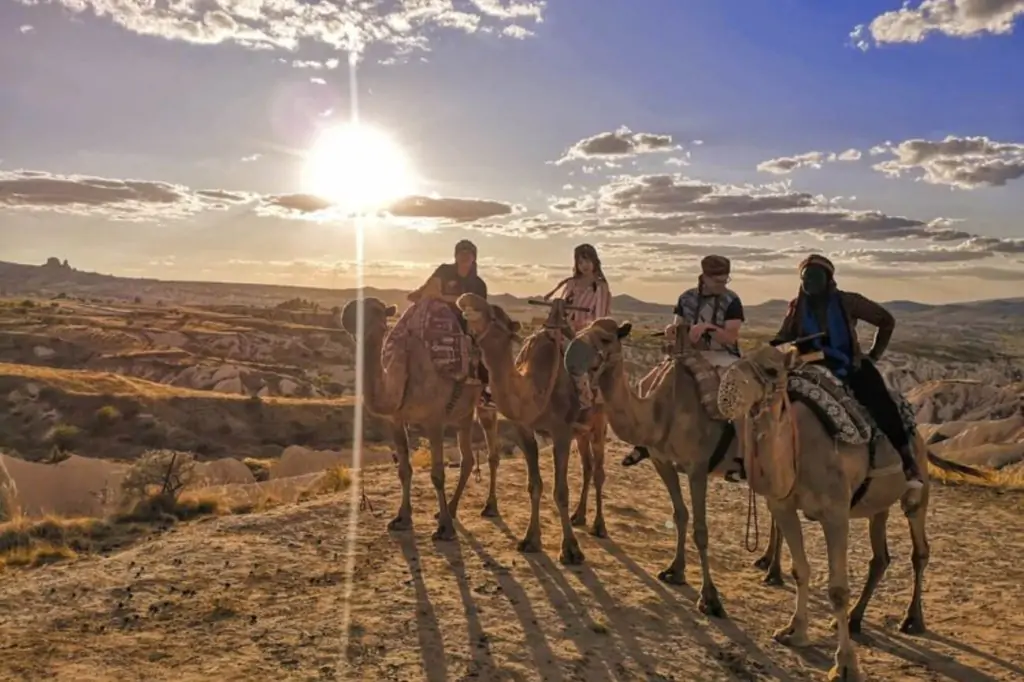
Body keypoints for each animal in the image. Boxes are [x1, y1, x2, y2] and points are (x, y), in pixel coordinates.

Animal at [339, 294, 499, 540]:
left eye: (378, 313)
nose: (348, 314)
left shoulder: (434, 420)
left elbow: (437, 474)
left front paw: (445, 529)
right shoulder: (396, 420)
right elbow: (404, 470)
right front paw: (402, 518)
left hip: (486, 401)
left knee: (491, 453)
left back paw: (488, 507)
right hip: (464, 412)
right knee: (468, 458)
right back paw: (451, 508)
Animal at [456, 292, 606, 561]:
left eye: (495, 313)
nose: (467, 298)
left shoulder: (561, 432)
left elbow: (560, 491)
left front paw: (571, 549)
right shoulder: (524, 430)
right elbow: (534, 485)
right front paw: (530, 540)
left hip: (599, 421)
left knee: (599, 471)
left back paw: (599, 526)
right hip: (582, 431)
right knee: (588, 467)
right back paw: (579, 516)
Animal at [565, 319, 757, 614]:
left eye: (607, 339)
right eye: (579, 332)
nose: (572, 356)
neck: (662, 411)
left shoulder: (697, 467)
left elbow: (701, 529)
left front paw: (710, 598)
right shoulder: (662, 462)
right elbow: (680, 515)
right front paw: (675, 571)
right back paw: (769, 567)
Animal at [712, 342, 991, 679]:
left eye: (772, 370)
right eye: (741, 359)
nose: (727, 390)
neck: (798, 449)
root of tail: (921, 439)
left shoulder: (835, 514)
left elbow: (837, 589)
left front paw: (845, 665)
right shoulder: (784, 507)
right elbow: (800, 570)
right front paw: (794, 631)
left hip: (917, 491)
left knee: (919, 549)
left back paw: (911, 620)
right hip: (877, 505)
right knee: (880, 558)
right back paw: (855, 618)